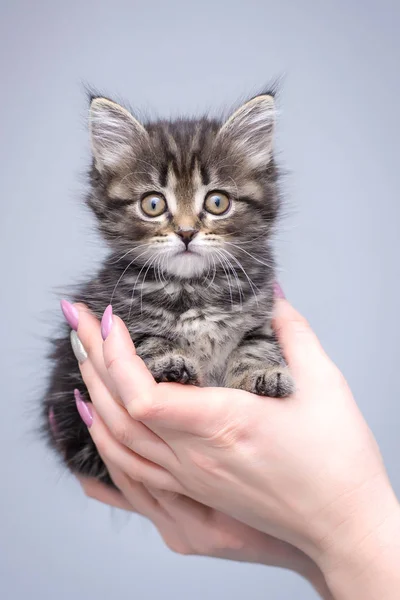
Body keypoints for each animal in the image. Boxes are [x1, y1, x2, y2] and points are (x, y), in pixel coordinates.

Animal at [43, 91, 294, 486]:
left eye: (217, 202)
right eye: (153, 204)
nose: (187, 232)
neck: (193, 289)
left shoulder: (258, 317)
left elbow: (256, 347)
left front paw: (263, 374)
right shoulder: (110, 307)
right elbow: (147, 337)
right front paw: (170, 363)